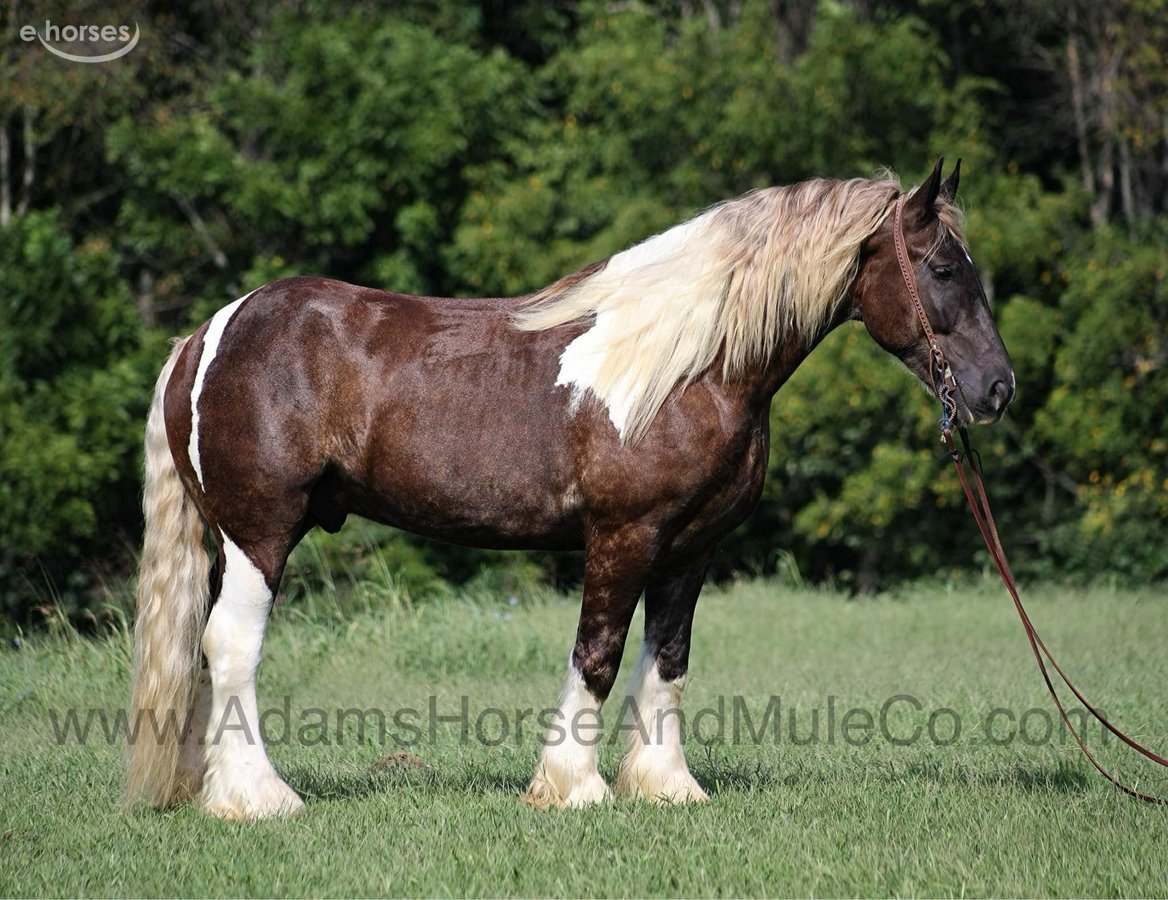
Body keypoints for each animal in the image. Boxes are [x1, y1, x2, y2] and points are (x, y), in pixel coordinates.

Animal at [126, 159, 1014, 819]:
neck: (689, 366)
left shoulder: (690, 547)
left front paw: (666, 786)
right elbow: (599, 653)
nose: (997, 389)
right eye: (942, 268)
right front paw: (573, 787)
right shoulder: (623, 536)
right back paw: (259, 798)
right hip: (259, 534)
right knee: (231, 645)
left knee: (205, 651)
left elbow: (668, 657)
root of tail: (209, 334)